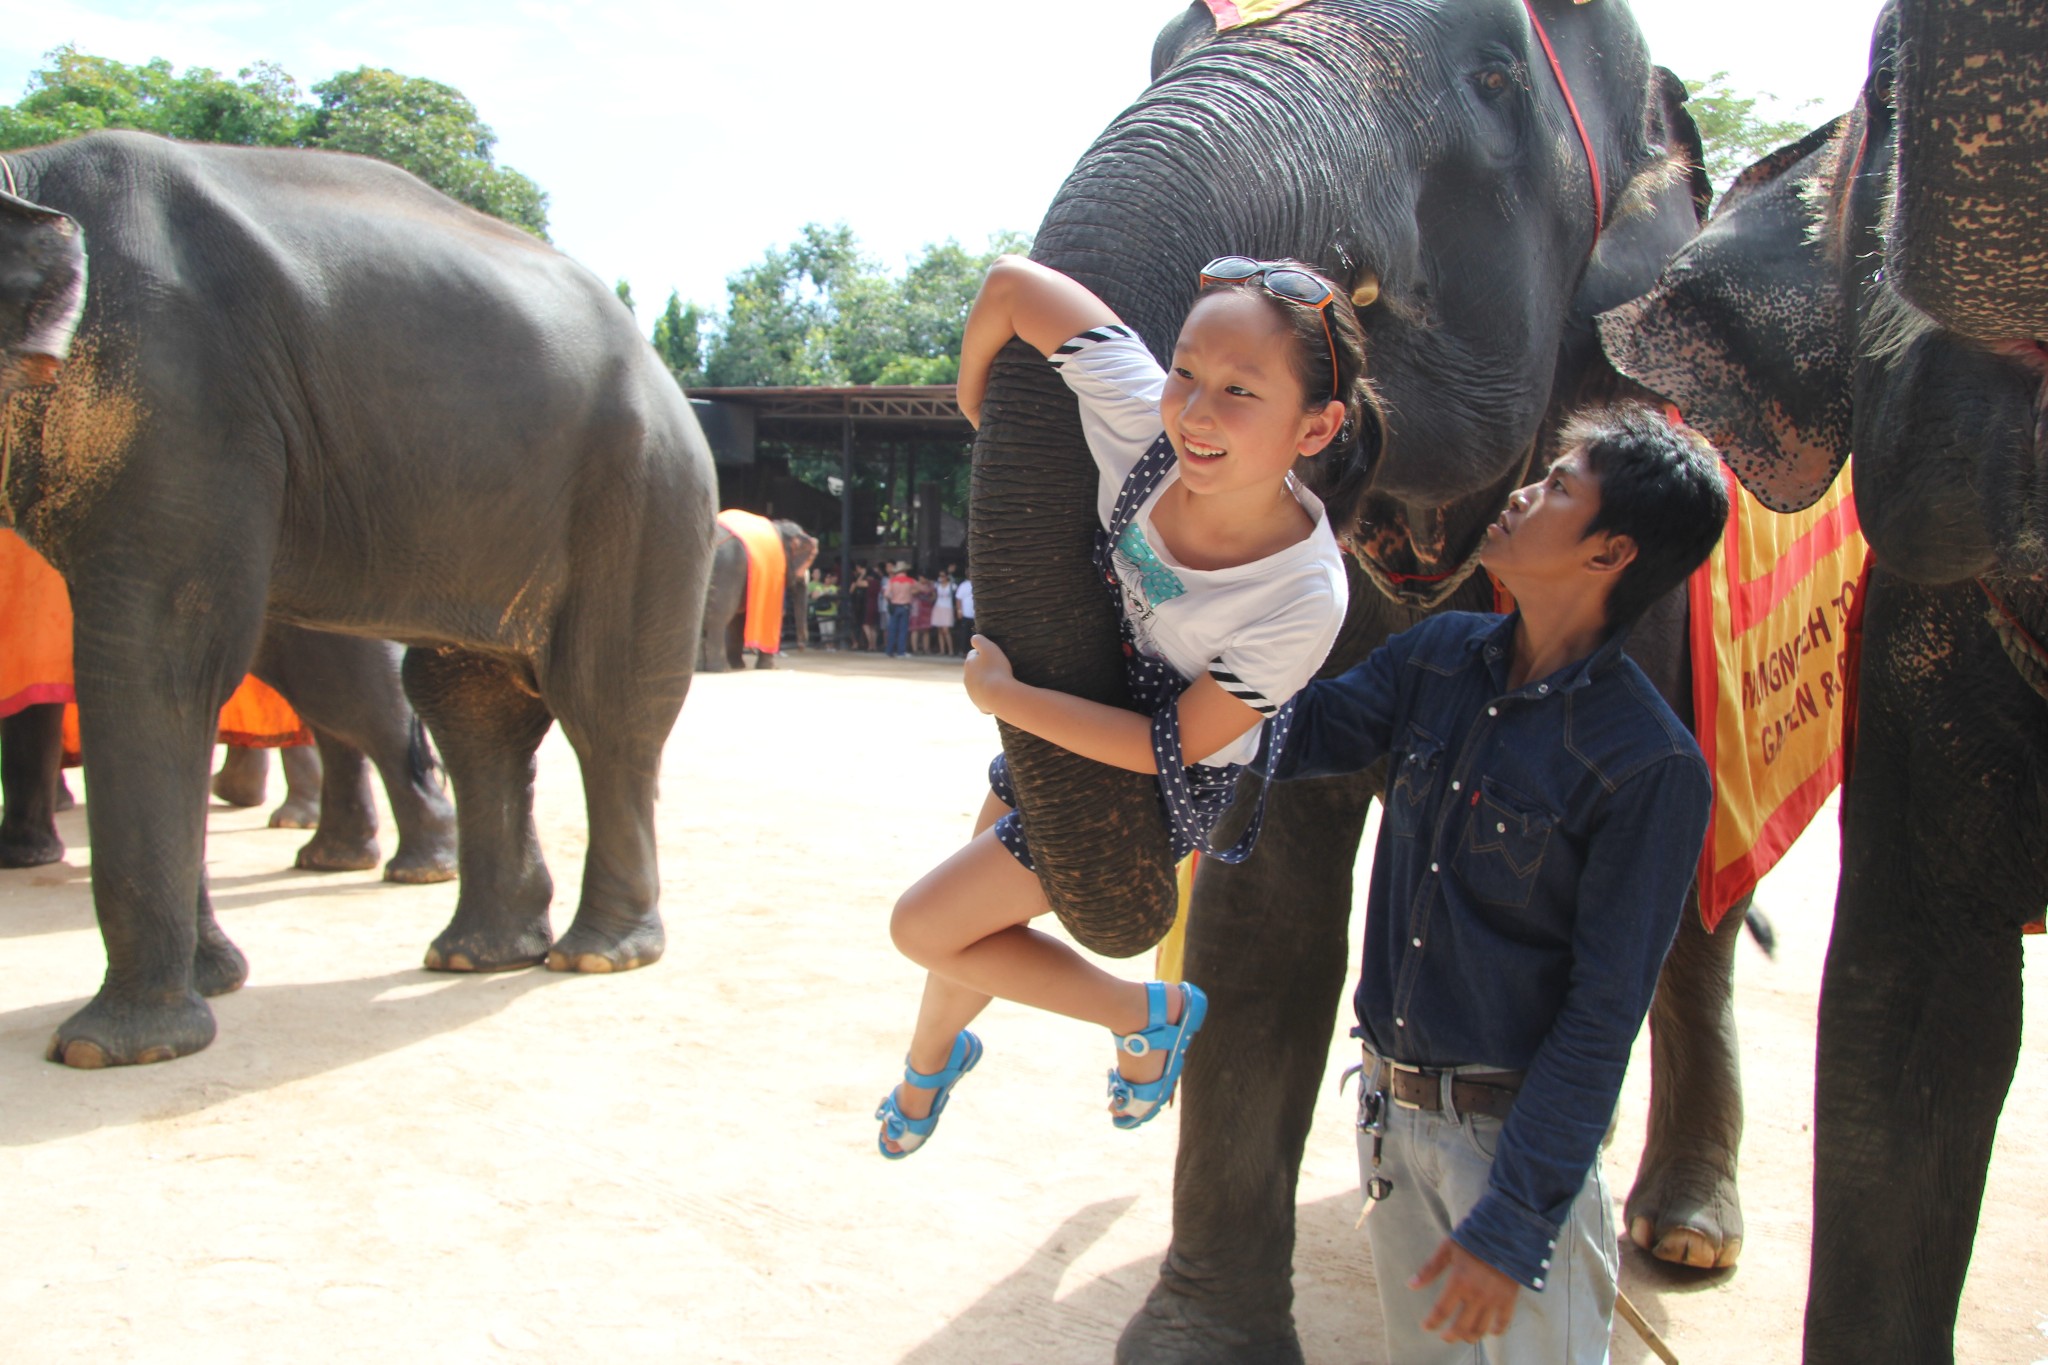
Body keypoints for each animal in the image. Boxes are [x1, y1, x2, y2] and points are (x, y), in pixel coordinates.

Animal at [0, 130, 720, 1064]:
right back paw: (477, 952)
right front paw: (211, 985)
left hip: (643, 486)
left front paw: (110, 1050)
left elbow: (164, 660)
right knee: (467, 703)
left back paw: (596, 954)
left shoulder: (176, 403)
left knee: (603, 704)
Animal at [700, 517, 819, 671]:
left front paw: (739, 666)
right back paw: (721, 669)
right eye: (809, 560)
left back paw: (703, 667)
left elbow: (739, 619)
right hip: (727, 570)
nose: (801, 647)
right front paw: (769, 668)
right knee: (719, 618)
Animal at [966, 5, 1753, 1358]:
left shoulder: (1646, 623)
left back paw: (1686, 1234)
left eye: (1493, 76)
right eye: (1161, 54)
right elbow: (1267, 917)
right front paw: (1195, 1344)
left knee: (1692, 909)